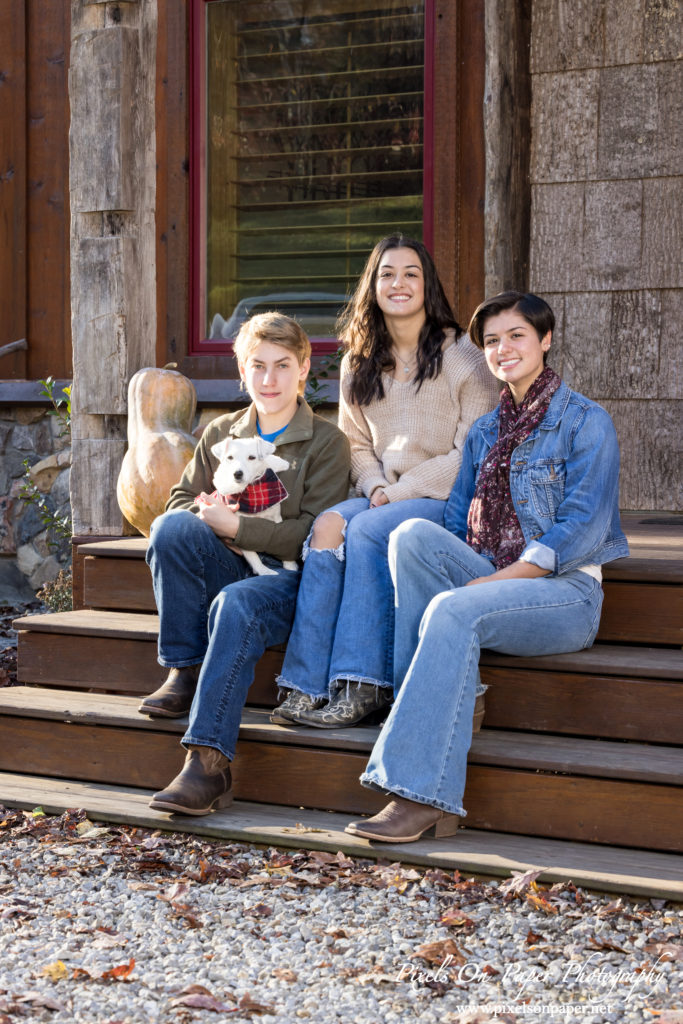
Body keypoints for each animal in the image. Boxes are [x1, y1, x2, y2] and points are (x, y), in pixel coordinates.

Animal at [194, 434, 296, 577]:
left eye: (252, 457)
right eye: (230, 457)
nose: (237, 474)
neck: (253, 494)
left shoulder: (276, 518)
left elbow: (283, 541)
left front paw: (290, 565)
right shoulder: (236, 528)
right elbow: (252, 554)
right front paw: (263, 570)